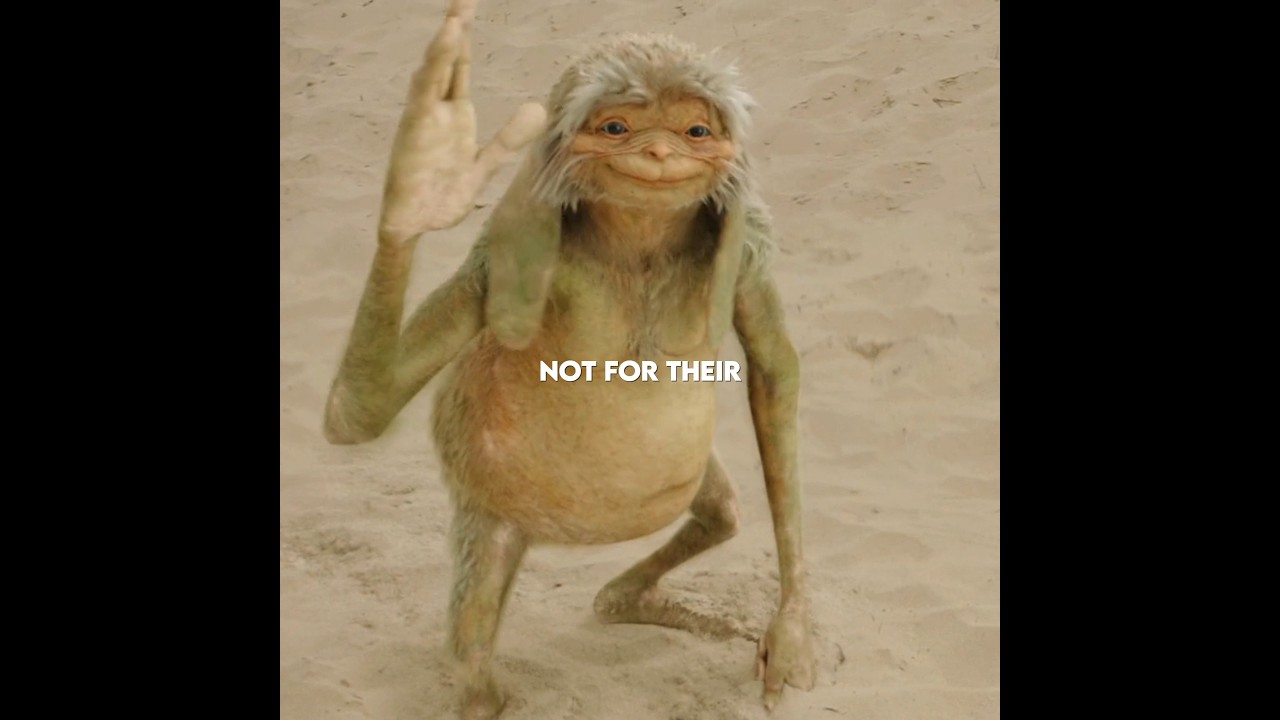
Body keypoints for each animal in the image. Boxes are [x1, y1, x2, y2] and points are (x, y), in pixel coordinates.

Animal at [322, 1, 815, 718]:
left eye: (695, 130)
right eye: (616, 128)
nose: (659, 152)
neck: (640, 248)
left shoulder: (746, 249)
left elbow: (775, 372)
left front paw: (792, 632)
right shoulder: (503, 266)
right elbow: (359, 416)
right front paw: (423, 183)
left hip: (686, 479)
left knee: (720, 512)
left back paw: (630, 599)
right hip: (492, 521)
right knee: (475, 657)